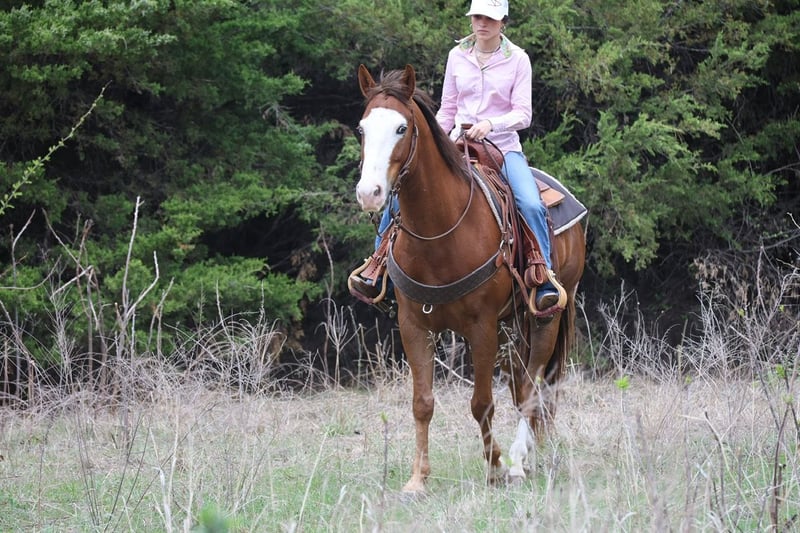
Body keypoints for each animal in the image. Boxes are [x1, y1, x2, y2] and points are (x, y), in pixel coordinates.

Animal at [354, 64, 586, 492]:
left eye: (401, 128)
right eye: (362, 129)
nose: (370, 193)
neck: (439, 231)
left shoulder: (482, 327)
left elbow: (481, 402)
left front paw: (494, 467)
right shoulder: (413, 325)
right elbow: (422, 403)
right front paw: (417, 479)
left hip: (546, 317)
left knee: (533, 384)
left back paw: (517, 461)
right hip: (514, 326)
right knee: (521, 386)